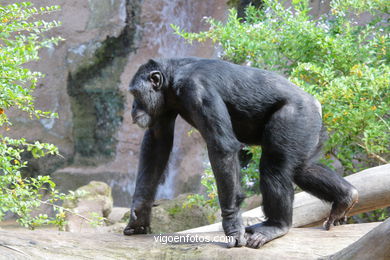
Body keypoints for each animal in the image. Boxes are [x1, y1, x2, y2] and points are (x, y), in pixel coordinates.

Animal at [123, 58, 358, 249]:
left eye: (135, 94)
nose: (132, 108)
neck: (172, 80)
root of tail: (317, 103)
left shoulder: (197, 91)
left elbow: (222, 147)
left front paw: (233, 227)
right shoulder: (162, 106)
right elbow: (157, 143)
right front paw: (139, 215)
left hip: (296, 117)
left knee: (274, 167)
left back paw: (277, 225)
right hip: (309, 131)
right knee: (301, 169)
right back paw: (346, 198)